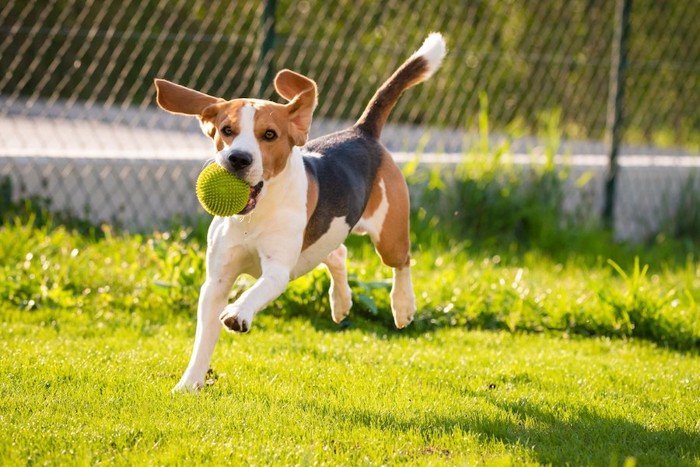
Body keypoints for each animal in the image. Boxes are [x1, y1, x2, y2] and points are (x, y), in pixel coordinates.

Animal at [156, 33, 446, 392]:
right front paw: (189, 384)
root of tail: (361, 132)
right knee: (338, 253)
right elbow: (203, 341)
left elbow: (254, 291)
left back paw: (403, 306)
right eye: (226, 130)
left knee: (402, 262)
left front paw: (238, 312)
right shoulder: (216, 281)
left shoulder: (277, 270)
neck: (254, 215)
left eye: (270, 135)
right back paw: (341, 302)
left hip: (389, 236)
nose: (238, 159)